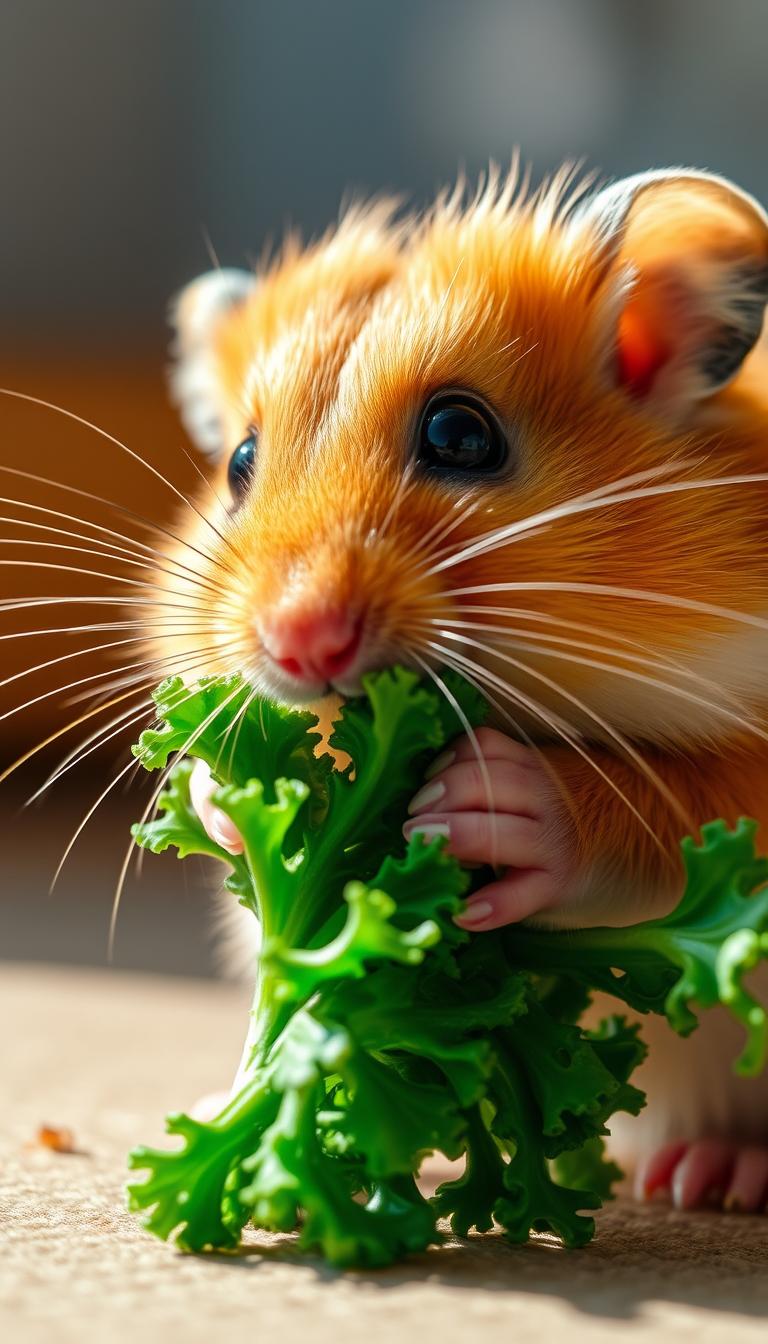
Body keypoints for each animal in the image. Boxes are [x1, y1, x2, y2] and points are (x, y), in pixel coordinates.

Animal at [161, 169, 768, 1211]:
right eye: (238, 464)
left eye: (459, 433)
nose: (298, 644)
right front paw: (229, 797)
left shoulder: (738, 789)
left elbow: (673, 804)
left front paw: (481, 802)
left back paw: (706, 1178)